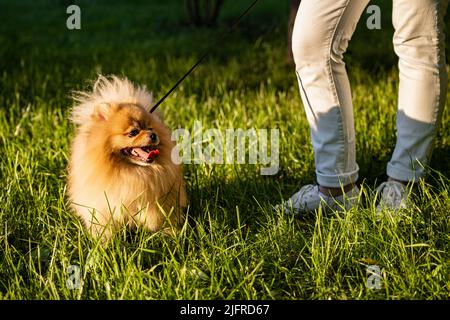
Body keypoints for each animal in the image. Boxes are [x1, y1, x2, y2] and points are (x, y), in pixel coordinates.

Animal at [67, 75, 186, 240]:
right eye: (133, 132)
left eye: (150, 128)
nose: (153, 135)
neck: (129, 171)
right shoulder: (103, 204)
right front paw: (103, 241)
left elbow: (157, 217)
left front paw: (166, 232)